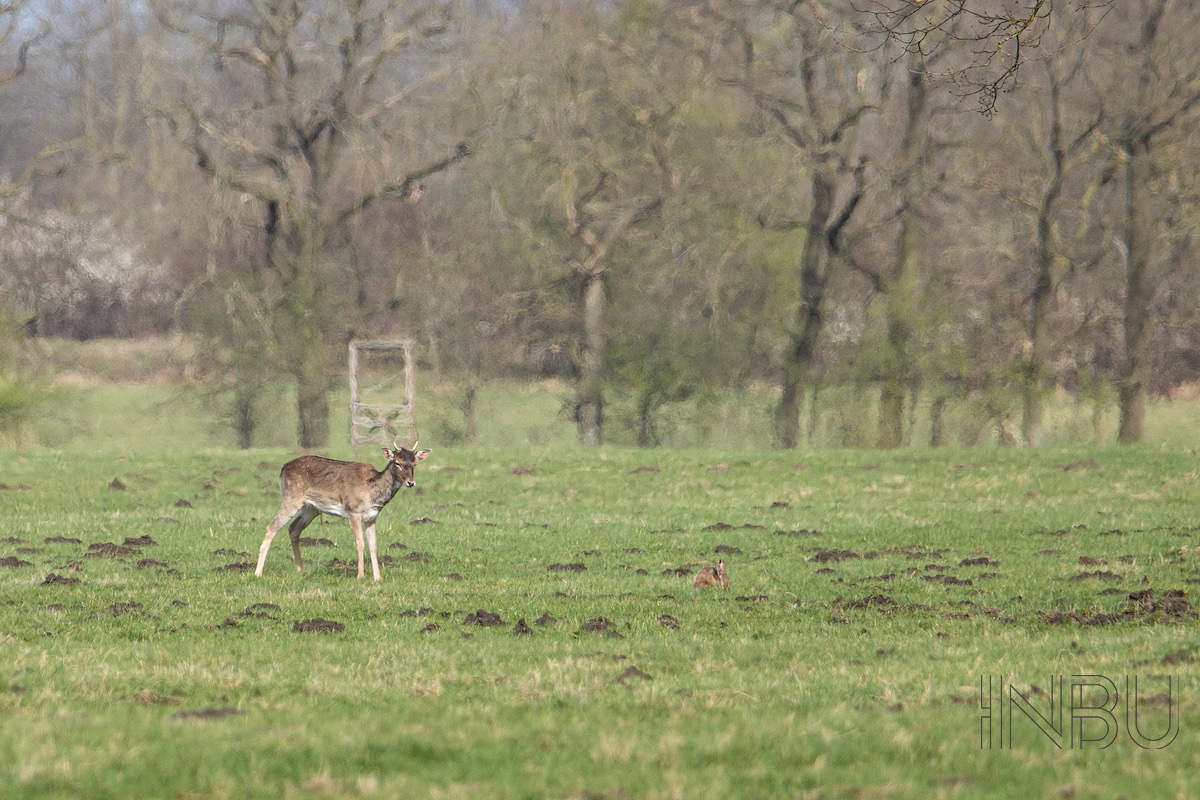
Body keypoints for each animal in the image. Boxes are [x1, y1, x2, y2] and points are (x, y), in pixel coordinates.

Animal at [255, 443, 434, 582]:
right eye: (397, 462)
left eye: (414, 463)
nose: (410, 482)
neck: (371, 492)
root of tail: (282, 468)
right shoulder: (353, 511)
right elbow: (360, 543)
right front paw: (361, 576)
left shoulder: (372, 517)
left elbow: (373, 544)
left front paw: (378, 577)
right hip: (292, 496)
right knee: (271, 527)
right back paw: (258, 573)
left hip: (312, 507)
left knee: (293, 529)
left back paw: (300, 570)